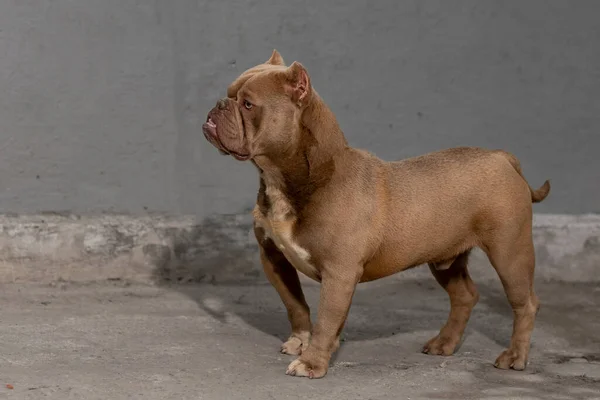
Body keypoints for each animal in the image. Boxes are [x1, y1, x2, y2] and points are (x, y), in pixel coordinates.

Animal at [202, 50, 548, 378]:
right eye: (230, 93)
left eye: (247, 104)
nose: (219, 104)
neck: (292, 178)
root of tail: (502, 157)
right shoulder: (274, 257)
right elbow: (296, 304)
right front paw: (301, 341)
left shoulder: (339, 273)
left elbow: (327, 318)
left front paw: (312, 362)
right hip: (445, 259)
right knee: (464, 296)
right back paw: (444, 343)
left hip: (509, 252)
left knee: (524, 303)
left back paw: (514, 357)